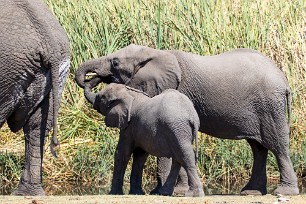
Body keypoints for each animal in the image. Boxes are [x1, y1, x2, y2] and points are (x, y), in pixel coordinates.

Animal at [75, 44, 298, 194]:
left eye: (115, 63)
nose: (93, 79)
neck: (155, 53)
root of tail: (284, 80)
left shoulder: (174, 88)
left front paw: (168, 192)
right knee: (258, 148)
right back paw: (250, 192)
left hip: (270, 105)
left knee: (277, 145)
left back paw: (283, 192)